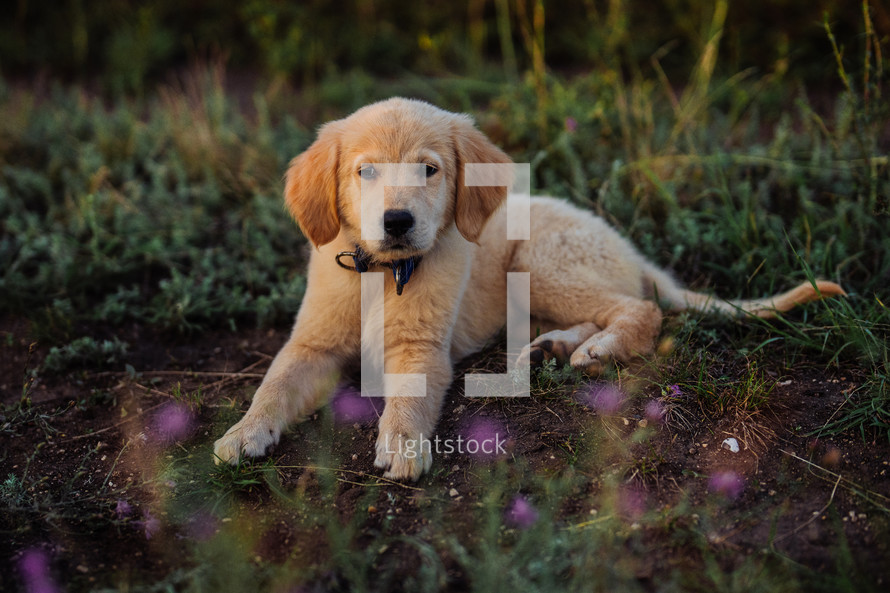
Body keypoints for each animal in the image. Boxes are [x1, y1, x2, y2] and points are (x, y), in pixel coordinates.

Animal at [213, 97, 840, 480]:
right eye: (364, 171)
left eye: (430, 170)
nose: (397, 221)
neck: (384, 272)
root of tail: (625, 245)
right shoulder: (311, 344)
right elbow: (274, 384)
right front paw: (243, 434)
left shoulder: (423, 349)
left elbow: (409, 397)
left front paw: (402, 446)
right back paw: (552, 348)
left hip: (541, 261)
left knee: (641, 308)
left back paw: (598, 350)